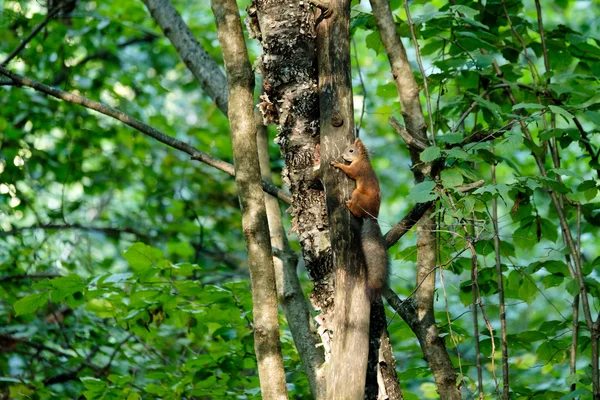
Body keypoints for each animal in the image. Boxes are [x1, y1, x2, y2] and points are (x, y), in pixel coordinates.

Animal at [332, 139, 390, 298]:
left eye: (351, 150)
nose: (342, 155)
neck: (362, 159)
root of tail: (372, 216)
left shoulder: (357, 169)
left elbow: (349, 171)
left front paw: (338, 164)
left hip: (357, 194)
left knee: (357, 212)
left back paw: (350, 206)